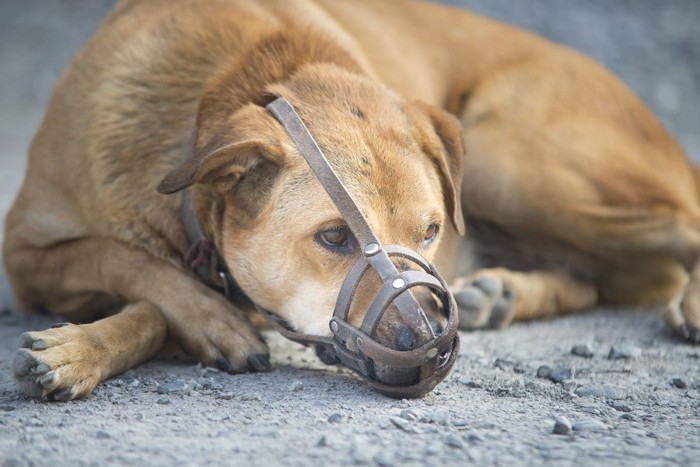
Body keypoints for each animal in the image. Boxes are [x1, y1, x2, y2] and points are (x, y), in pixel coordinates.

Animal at [5, 0, 700, 402]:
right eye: (334, 237)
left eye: (430, 232)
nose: (435, 346)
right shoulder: (25, 254)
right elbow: (125, 264)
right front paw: (90, 346)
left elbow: (145, 287)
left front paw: (85, 348)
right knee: (598, 277)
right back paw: (502, 291)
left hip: (513, 162)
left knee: (677, 234)